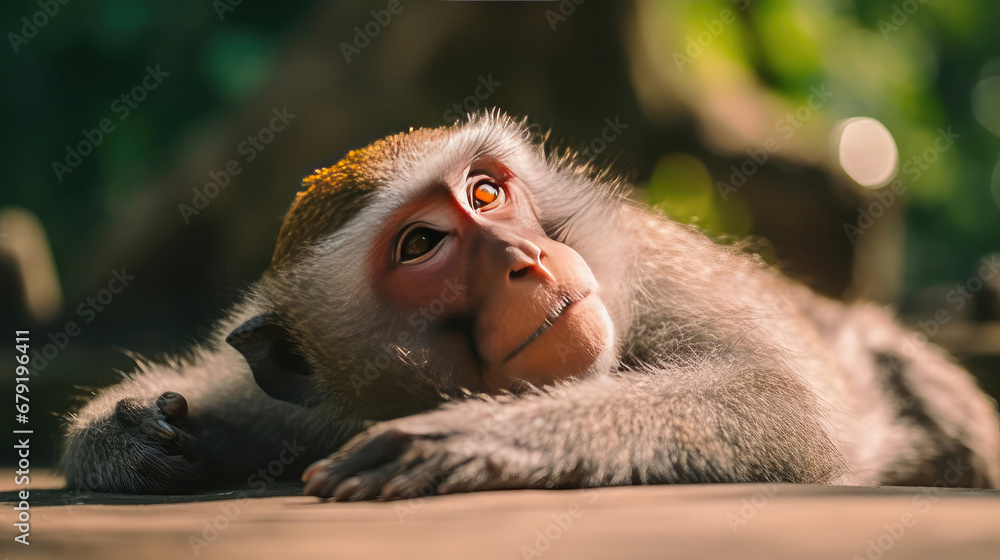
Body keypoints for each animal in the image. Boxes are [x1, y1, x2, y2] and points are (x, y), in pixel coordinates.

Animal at [60, 111, 1000, 496]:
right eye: (419, 245)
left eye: (485, 193)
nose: (526, 257)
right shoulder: (312, 397)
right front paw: (121, 432)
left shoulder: (653, 271)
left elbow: (790, 407)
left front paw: (477, 436)